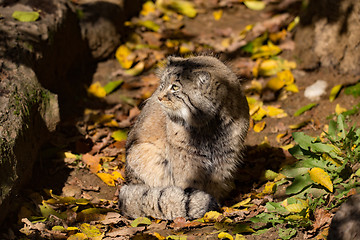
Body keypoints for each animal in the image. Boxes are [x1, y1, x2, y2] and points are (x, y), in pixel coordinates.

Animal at [119, 55, 249, 219]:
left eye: (175, 87)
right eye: (162, 84)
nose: (159, 98)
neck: (209, 126)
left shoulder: (226, 156)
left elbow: (217, 183)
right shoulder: (186, 158)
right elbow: (189, 183)